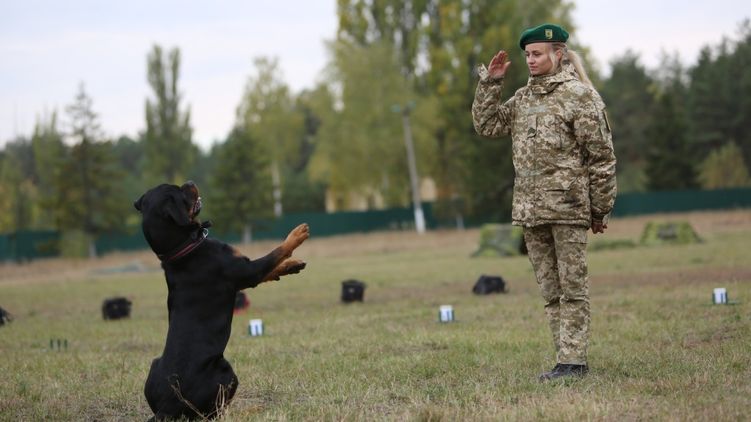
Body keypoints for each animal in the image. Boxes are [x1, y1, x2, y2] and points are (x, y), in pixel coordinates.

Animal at [134, 181, 308, 420]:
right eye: (178, 191)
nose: (189, 182)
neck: (182, 249)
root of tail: (166, 409)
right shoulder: (247, 272)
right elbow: (273, 254)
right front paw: (297, 235)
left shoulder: (244, 275)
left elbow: (272, 268)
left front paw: (291, 266)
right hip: (226, 372)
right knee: (215, 413)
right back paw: (251, 410)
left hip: (154, 364)